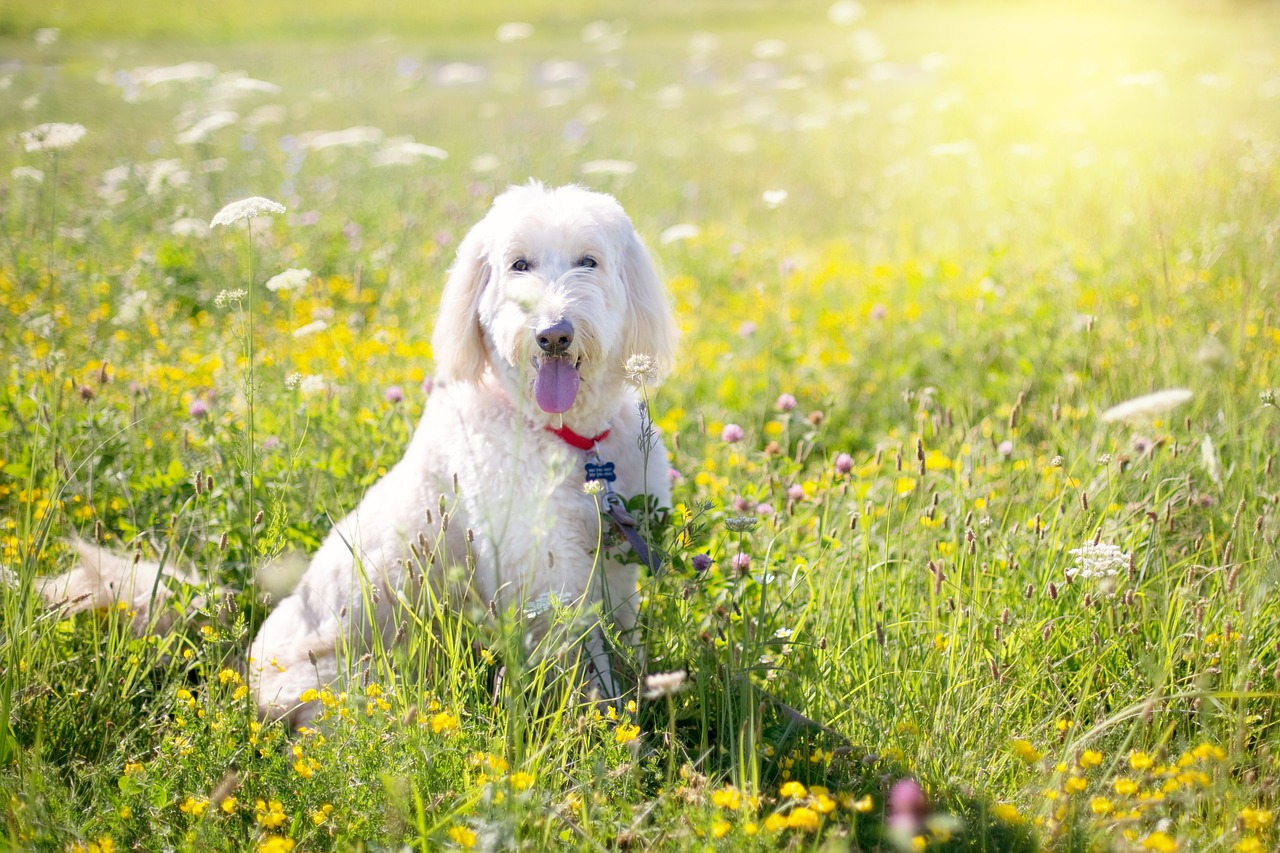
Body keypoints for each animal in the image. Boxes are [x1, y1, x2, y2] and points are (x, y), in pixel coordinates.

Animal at [41, 183, 680, 722]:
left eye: (588, 261)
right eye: (518, 264)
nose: (553, 334)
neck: (569, 439)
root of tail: (240, 660)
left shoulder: (614, 565)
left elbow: (622, 641)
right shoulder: (549, 577)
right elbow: (582, 668)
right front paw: (605, 733)